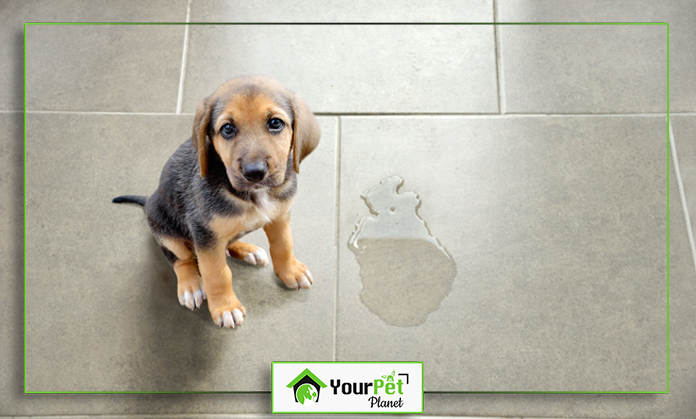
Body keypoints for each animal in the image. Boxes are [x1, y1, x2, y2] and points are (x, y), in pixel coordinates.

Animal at [113, 76, 320, 332]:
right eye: (227, 129)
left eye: (275, 123)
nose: (255, 173)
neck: (253, 195)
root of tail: (149, 198)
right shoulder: (204, 232)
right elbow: (217, 274)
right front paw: (225, 307)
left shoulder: (280, 216)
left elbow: (283, 245)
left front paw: (290, 271)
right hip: (166, 229)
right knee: (181, 259)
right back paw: (191, 286)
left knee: (227, 243)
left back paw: (248, 250)